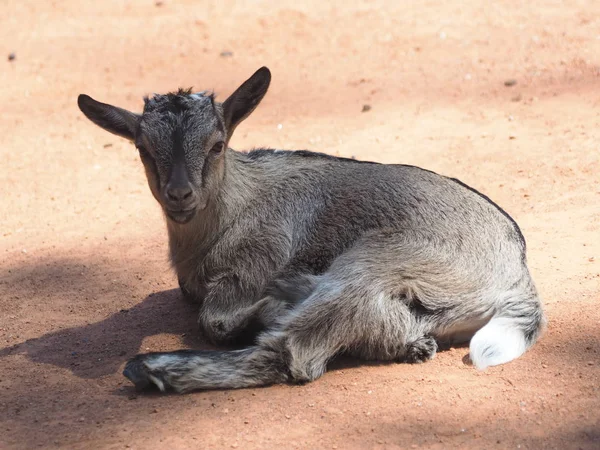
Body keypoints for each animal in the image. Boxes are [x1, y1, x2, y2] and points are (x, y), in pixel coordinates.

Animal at [77, 65, 548, 392]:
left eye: (217, 145)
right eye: (143, 149)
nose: (179, 194)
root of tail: (518, 279)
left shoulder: (257, 257)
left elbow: (216, 322)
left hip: (376, 259)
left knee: (290, 355)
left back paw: (152, 370)